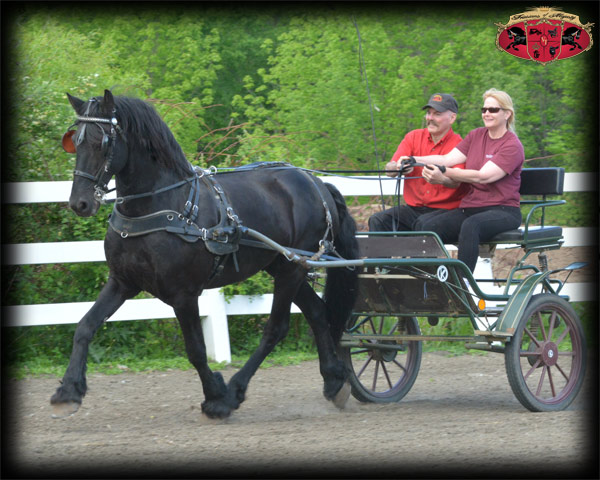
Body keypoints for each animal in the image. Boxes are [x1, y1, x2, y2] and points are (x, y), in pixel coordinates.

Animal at [51, 90, 358, 420]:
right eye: (75, 141)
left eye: (103, 141)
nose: (80, 203)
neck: (162, 207)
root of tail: (316, 183)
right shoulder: (122, 282)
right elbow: (85, 326)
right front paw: (68, 391)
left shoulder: (183, 294)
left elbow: (196, 350)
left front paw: (215, 395)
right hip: (284, 264)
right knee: (317, 312)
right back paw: (334, 381)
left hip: (292, 270)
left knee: (276, 329)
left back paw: (233, 393)